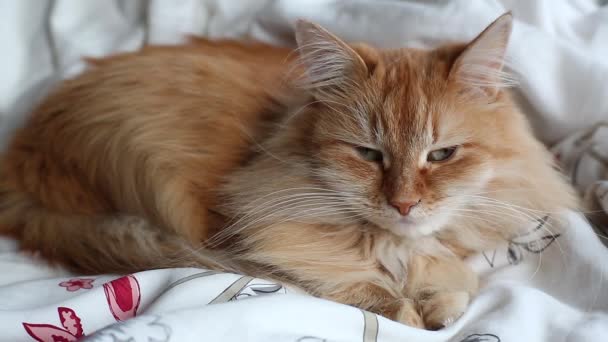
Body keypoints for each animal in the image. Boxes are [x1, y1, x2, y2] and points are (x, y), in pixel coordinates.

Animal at [0, 13, 576, 328]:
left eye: (440, 155)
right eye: (369, 155)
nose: (404, 203)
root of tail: (24, 151)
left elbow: (455, 276)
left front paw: (440, 306)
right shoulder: (278, 235)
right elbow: (360, 282)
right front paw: (408, 312)